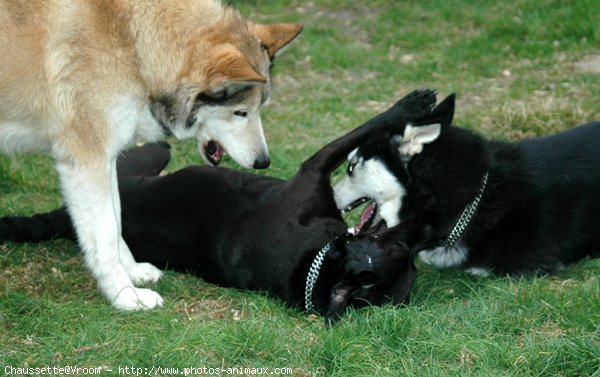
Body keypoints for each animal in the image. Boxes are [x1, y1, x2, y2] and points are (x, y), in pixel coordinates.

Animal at [0, 0, 300, 308]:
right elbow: (106, 234)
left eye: (260, 108)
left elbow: (117, 221)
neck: (132, 45)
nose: (263, 162)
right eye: (241, 112)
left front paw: (133, 273)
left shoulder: (106, 159)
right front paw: (125, 296)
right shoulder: (85, 163)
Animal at [2, 89, 438, 320]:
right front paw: (413, 105)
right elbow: (363, 129)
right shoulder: (313, 168)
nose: (427, 227)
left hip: (140, 161)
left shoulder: (313, 170)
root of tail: (61, 218)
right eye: (401, 246)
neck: (315, 265)